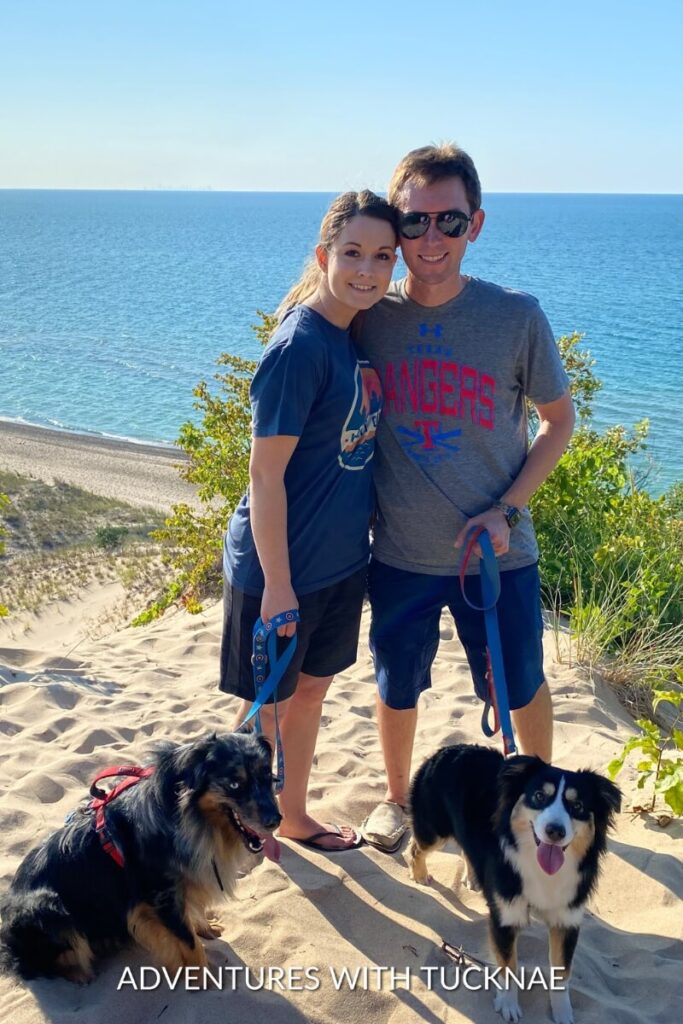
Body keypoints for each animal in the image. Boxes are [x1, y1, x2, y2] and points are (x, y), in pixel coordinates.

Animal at [409, 745, 622, 1024]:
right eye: (539, 796)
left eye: (577, 805)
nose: (555, 831)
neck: (541, 869)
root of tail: (448, 749)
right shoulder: (505, 917)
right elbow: (508, 966)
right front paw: (508, 1005)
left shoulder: (567, 918)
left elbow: (562, 973)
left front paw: (562, 1012)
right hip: (435, 830)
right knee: (416, 848)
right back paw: (420, 875)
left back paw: (472, 878)